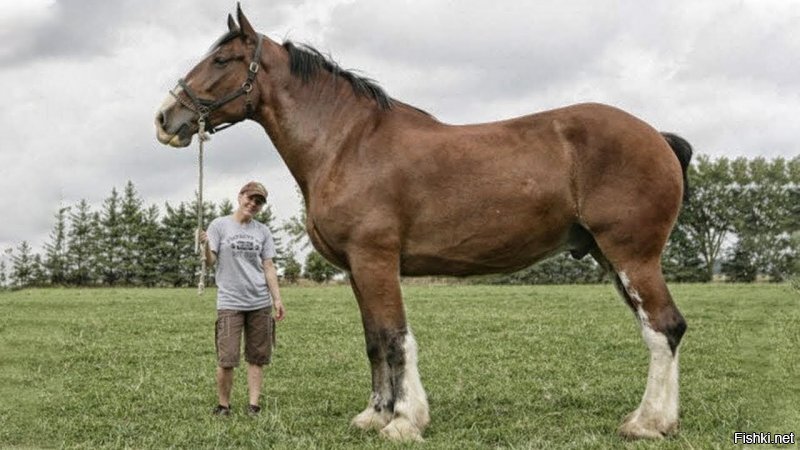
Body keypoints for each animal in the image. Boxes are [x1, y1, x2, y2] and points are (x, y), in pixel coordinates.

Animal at [155, 6, 688, 442]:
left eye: (222, 60)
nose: (165, 118)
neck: (346, 143)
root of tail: (657, 137)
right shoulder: (357, 269)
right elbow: (374, 340)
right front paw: (374, 415)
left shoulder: (376, 260)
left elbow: (395, 338)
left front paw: (405, 421)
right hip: (610, 257)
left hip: (631, 256)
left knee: (664, 328)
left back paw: (646, 423)